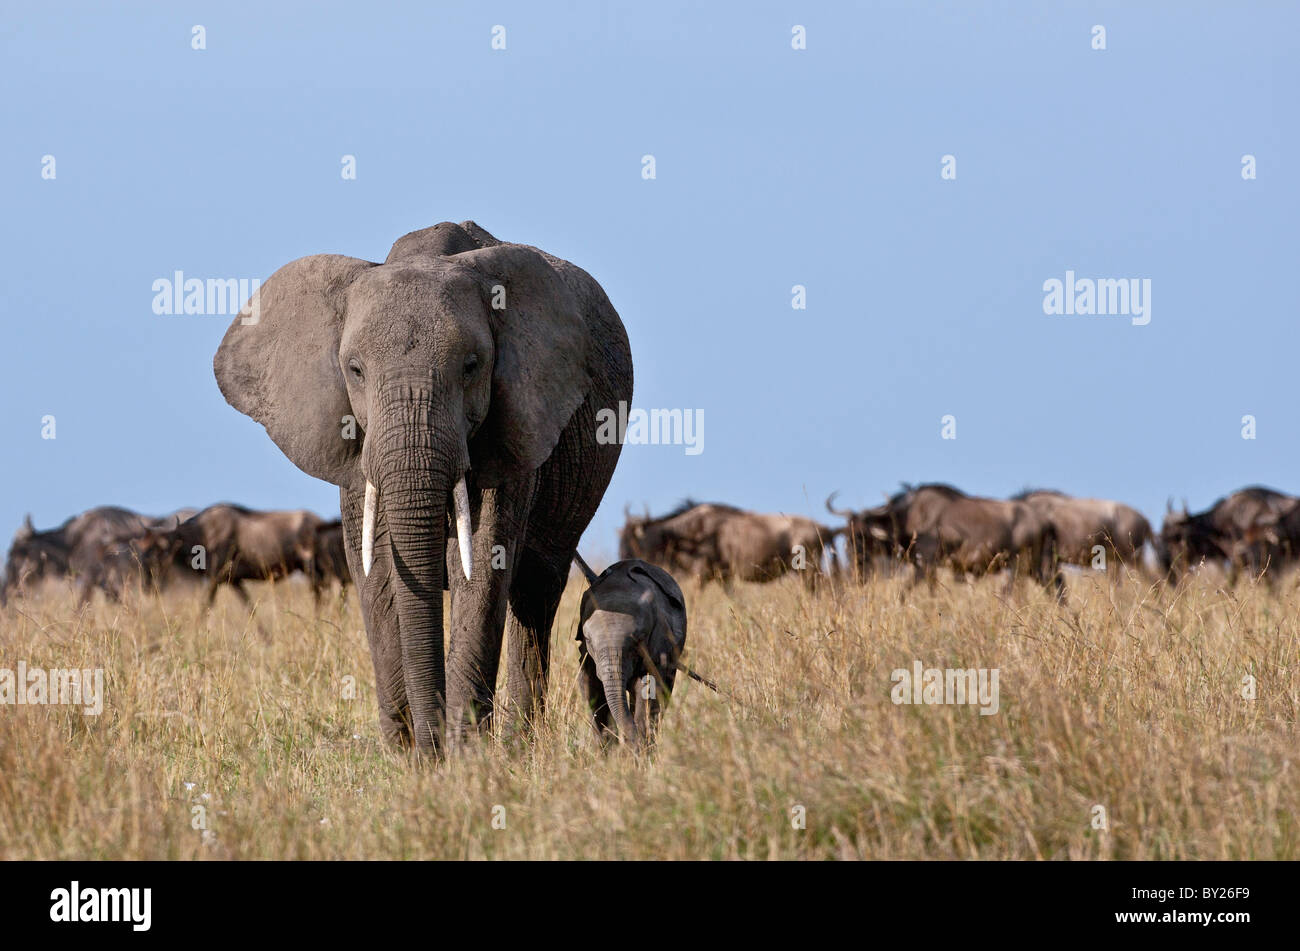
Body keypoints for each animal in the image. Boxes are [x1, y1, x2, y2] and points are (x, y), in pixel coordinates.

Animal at [215, 220, 631, 748]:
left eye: (472, 366)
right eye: (354, 370)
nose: (430, 745)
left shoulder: (513, 426)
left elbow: (483, 564)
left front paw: (463, 751)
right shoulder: (358, 448)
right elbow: (374, 571)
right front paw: (409, 753)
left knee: (535, 593)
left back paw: (517, 746)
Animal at [572, 553, 686, 748]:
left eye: (638, 640)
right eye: (588, 640)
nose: (626, 742)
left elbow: (648, 689)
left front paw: (638, 747)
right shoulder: (587, 655)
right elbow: (590, 688)